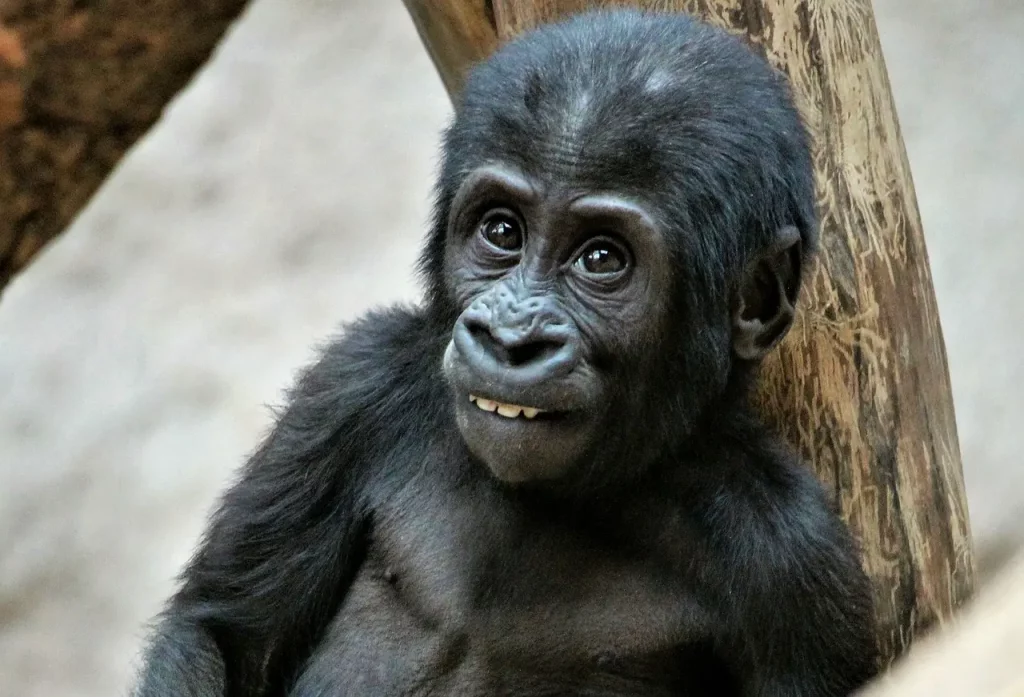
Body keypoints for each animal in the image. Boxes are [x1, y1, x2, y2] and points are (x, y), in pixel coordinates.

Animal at [132, 9, 876, 695]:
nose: (512, 337)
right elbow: (222, 634)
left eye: (602, 258)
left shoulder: (793, 564)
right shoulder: (352, 387)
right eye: (501, 231)